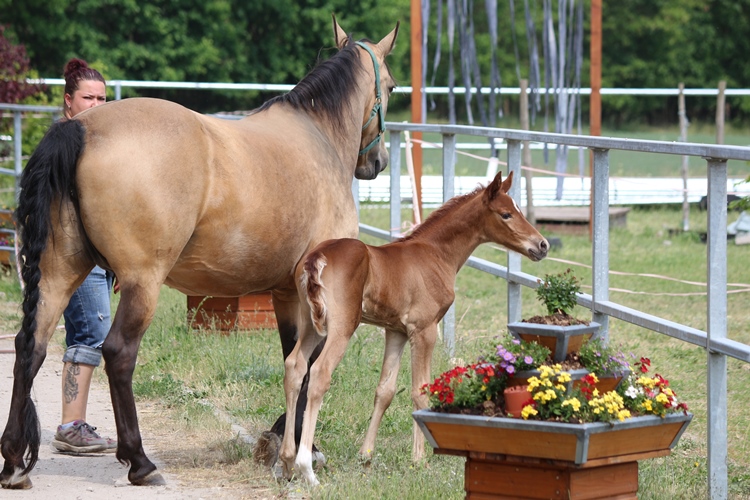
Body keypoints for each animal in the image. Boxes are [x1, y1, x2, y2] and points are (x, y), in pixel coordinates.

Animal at [280, 171, 548, 484]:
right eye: (506, 214)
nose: (542, 245)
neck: (434, 254)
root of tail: (317, 258)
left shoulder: (395, 331)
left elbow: (385, 391)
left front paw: (366, 456)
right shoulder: (424, 330)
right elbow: (420, 391)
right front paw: (421, 459)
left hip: (310, 323)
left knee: (295, 366)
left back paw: (287, 459)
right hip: (342, 327)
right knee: (320, 373)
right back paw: (306, 468)